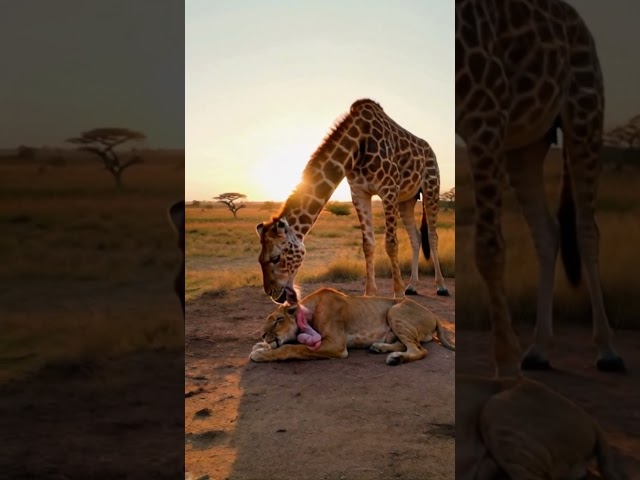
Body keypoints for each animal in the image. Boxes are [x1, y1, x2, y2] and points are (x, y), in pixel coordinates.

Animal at [256, 99, 449, 304]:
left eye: (276, 258)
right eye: (259, 259)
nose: (273, 293)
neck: (358, 147)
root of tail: (431, 152)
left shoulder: (389, 189)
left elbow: (391, 244)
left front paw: (397, 293)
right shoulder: (359, 193)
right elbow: (368, 244)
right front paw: (370, 293)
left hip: (431, 187)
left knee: (433, 236)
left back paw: (441, 286)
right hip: (407, 199)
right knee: (416, 236)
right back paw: (411, 286)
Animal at [455, 0, 625, 376]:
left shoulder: (485, 114)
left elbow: (488, 248)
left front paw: (505, 361)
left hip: (585, 112)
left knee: (587, 231)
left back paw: (607, 349)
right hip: (526, 143)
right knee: (548, 231)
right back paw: (538, 349)